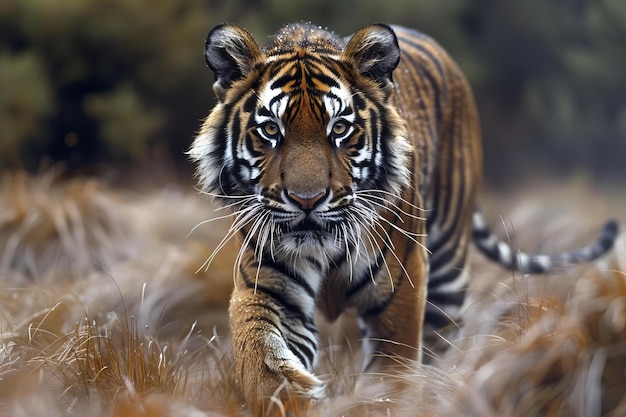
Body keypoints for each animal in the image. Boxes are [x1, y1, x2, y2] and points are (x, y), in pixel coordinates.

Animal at [188, 22, 616, 410]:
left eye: (339, 129)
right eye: (270, 130)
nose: (306, 200)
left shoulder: (401, 290)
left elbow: (390, 377)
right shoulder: (267, 285)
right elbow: (260, 358)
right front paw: (294, 397)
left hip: (447, 276)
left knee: (438, 349)